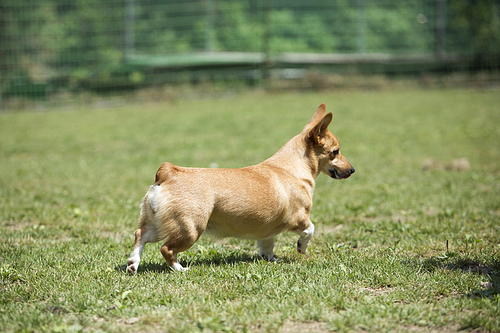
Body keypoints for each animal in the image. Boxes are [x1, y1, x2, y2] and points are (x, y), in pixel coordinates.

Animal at [127, 104, 354, 272]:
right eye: (336, 151)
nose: (352, 170)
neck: (293, 166)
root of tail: (167, 172)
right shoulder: (300, 218)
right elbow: (310, 230)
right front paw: (301, 248)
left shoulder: (266, 232)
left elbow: (267, 245)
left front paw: (270, 259)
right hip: (190, 228)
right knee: (166, 249)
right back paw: (180, 268)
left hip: (157, 223)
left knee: (140, 235)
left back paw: (132, 264)